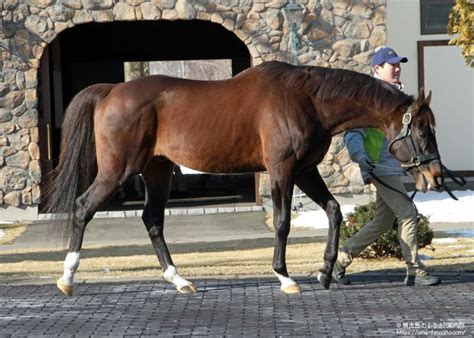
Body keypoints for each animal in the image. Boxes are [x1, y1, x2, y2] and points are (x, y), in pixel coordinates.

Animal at [45, 60, 444, 296]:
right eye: (423, 130)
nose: (436, 176)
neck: (306, 99)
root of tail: (111, 91)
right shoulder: (282, 169)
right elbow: (282, 222)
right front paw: (285, 277)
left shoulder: (305, 170)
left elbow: (333, 210)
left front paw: (325, 271)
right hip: (119, 169)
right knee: (83, 207)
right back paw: (67, 278)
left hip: (157, 171)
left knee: (152, 219)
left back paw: (179, 280)